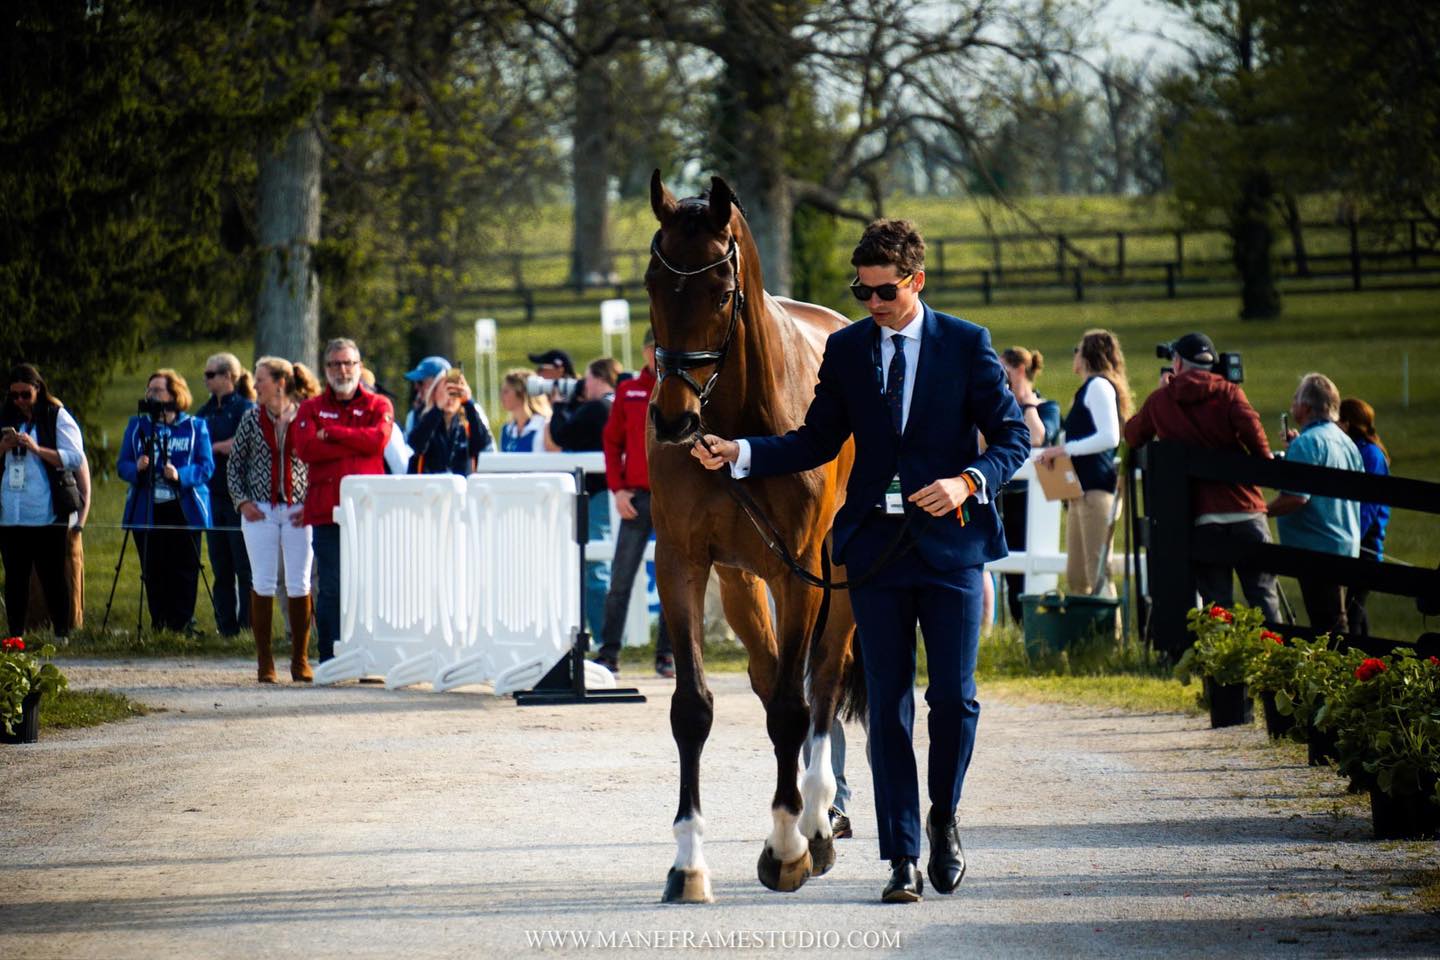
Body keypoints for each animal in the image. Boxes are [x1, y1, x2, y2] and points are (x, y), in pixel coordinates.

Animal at [644, 170, 859, 903]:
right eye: (652, 284)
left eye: (721, 291)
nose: (673, 420)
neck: (741, 423)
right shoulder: (683, 563)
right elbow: (692, 709)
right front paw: (686, 865)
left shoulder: (799, 573)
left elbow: (797, 708)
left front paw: (789, 847)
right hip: (742, 582)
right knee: (770, 682)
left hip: (837, 579)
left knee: (820, 686)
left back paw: (819, 825)